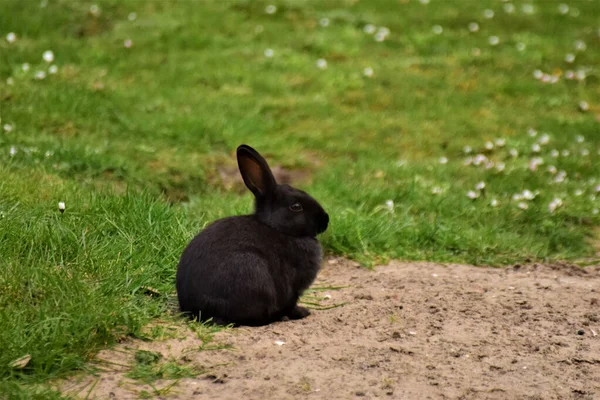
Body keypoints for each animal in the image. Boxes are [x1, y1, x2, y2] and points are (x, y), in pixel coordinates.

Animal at [176, 144, 330, 324]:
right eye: (296, 206)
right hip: (251, 270)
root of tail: (199, 311)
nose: (326, 220)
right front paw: (301, 312)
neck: (278, 228)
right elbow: (290, 303)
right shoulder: (292, 288)